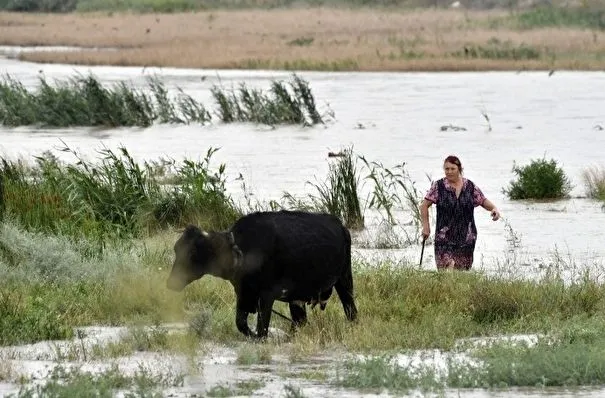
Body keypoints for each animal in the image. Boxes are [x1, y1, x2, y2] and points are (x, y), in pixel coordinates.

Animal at [165, 210, 356, 338]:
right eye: (176, 249)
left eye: (193, 253)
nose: (171, 283)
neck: (244, 251)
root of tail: (340, 226)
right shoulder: (243, 294)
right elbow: (241, 324)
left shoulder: (266, 296)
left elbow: (262, 328)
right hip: (297, 299)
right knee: (299, 321)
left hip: (344, 281)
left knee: (351, 311)